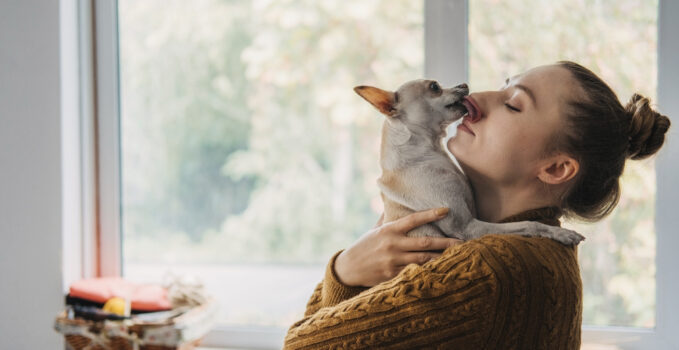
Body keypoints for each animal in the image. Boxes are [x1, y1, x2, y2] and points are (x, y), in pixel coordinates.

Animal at [356, 79, 584, 245]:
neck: (430, 151)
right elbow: (530, 224)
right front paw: (560, 233)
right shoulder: (467, 226)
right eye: (434, 87)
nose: (464, 84)